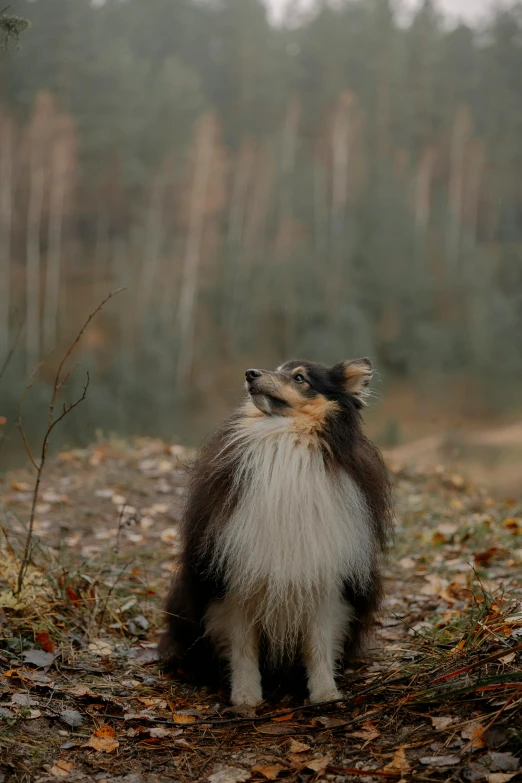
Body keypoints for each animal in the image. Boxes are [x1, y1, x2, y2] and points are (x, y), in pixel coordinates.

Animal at [158, 358, 390, 708]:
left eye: (300, 377)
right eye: (277, 367)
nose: (250, 374)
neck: (283, 440)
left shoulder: (325, 581)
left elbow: (319, 644)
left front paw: (325, 695)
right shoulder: (236, 582)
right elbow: (242, 648)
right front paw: (245, 698)